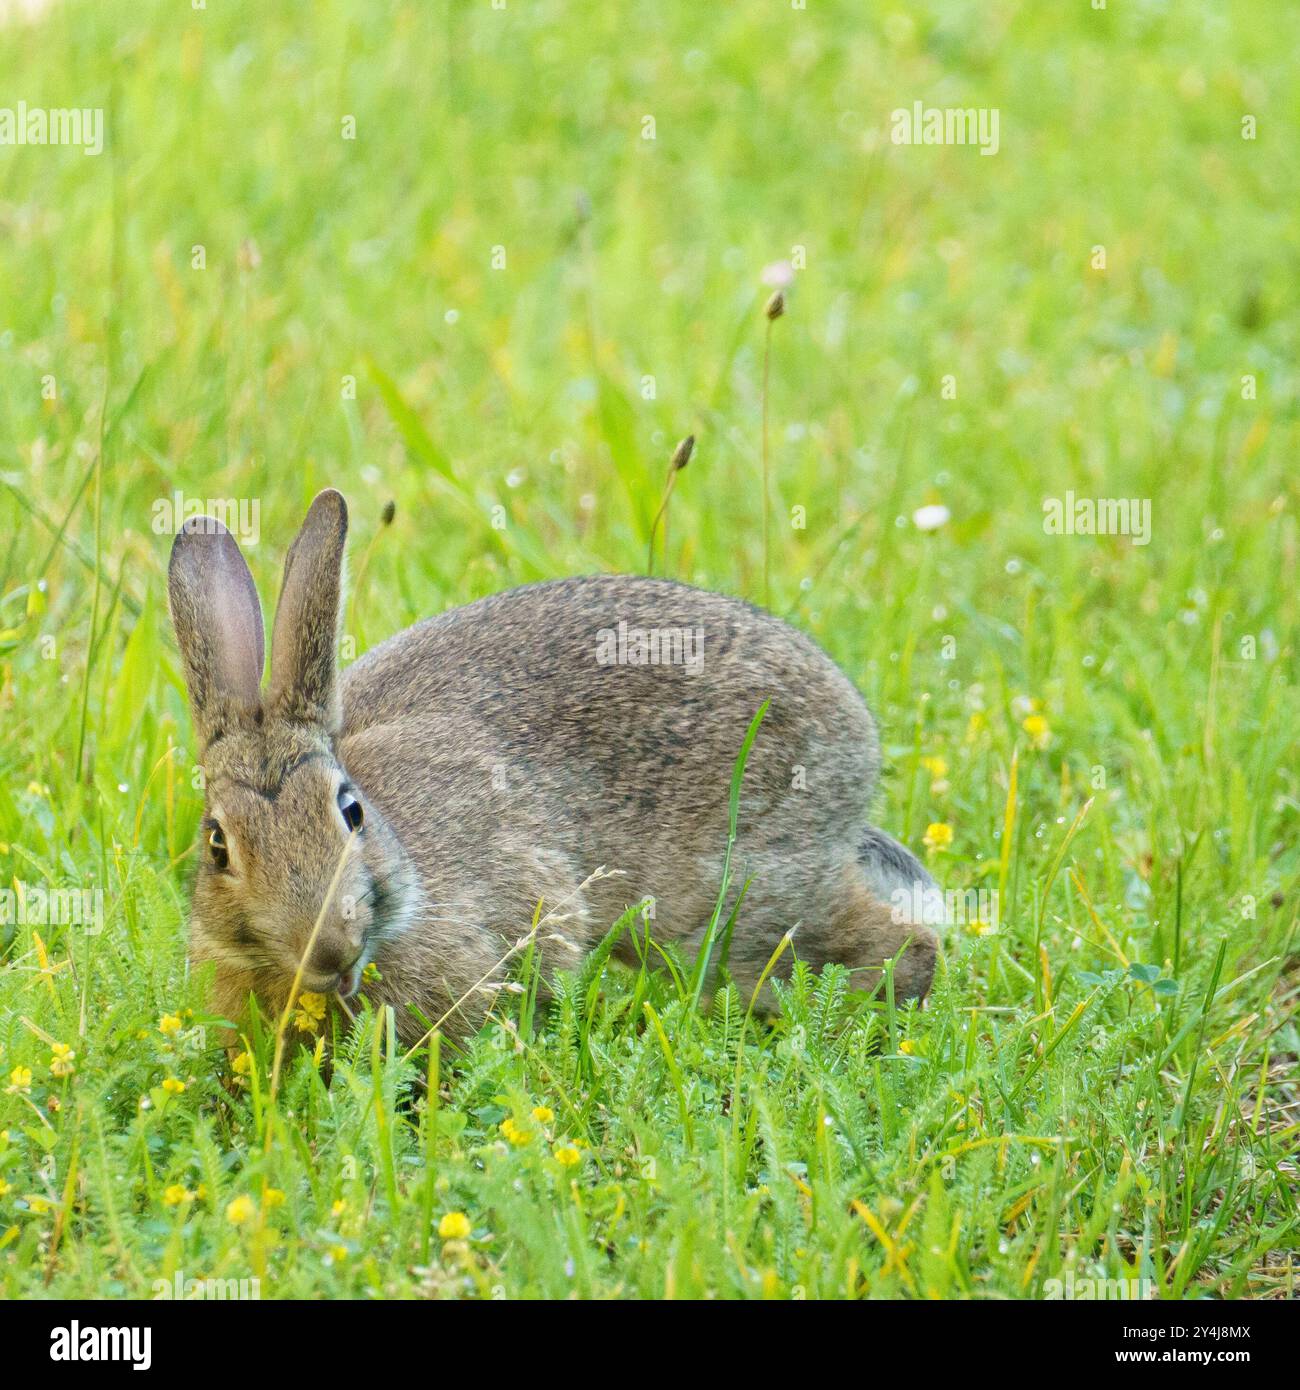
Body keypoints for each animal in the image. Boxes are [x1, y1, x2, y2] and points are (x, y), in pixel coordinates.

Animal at [167, 489, 942, 1049]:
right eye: (218, 844)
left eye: (350, 811)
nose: (327, 949)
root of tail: (856, 736)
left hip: (742, 906)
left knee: (897, 946)